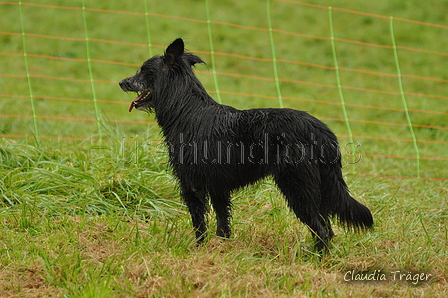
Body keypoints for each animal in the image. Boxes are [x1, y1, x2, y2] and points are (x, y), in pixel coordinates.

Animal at [118, 36, 372, 251]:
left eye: (145, 71)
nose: (121, 82)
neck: (186, 110)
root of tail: (320, 131)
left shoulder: (192, 185)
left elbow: (199, 224)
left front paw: (198, 250)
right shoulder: (218, 187)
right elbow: (223, 224)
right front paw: (221, 250)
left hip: (297, 186)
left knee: (321, 229)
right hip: (317, 188)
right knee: (327, 228)